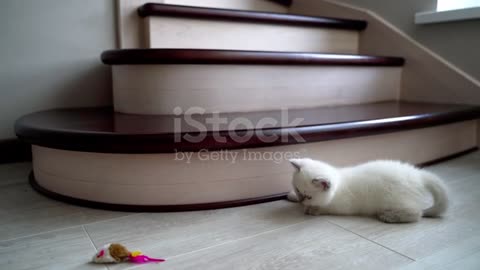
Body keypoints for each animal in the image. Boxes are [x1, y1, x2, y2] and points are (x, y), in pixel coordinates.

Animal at [288, 158, 450, 224]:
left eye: (308, 196)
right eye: (297, 190)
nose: (301, 200)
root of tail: (418, 175)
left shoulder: (343, 207)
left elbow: (325, 208)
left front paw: (312, 209)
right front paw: (291, 196)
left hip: (394, 200)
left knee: (417, 213)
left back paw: (389, 216)